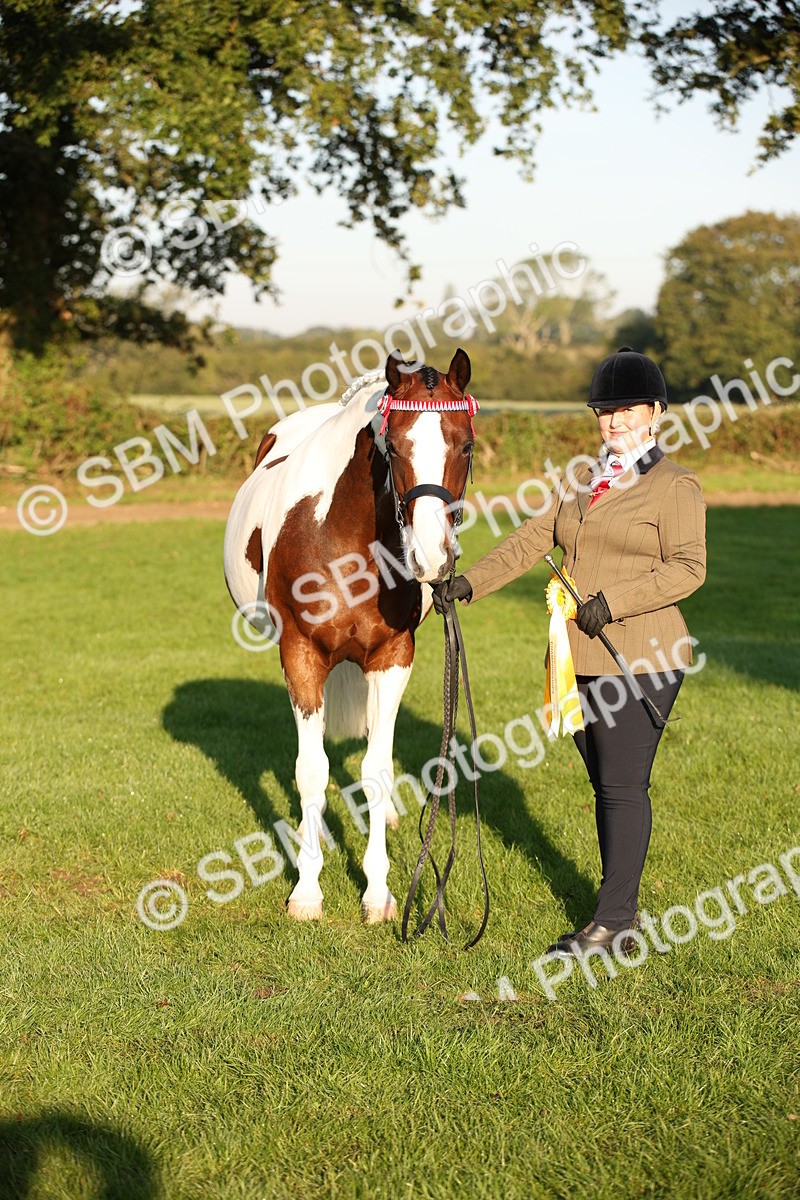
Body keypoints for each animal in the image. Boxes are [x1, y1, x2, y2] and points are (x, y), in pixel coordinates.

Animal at [223, 348, 478, 923]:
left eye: (466, 444)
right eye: (394, 446)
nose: (432, 555)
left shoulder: (392, 656)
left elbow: (376, 769)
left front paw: (378, 892)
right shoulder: (300, 654)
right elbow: (310, 772)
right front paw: (306, 889)